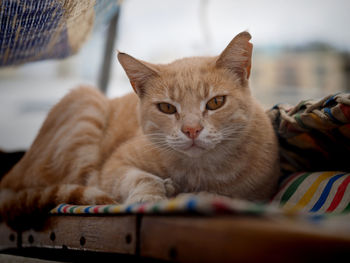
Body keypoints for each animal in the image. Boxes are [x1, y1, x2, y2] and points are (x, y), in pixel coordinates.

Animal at [0, 31, 278, 229]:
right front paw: (151, 197)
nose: (191, 130)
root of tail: (10, 175)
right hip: (87, 102)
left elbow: (227, 197)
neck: (198, 171)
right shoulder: (115, 166)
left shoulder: (261, 192)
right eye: (166, 107)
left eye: (216, 102)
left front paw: (199, 194)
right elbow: (141, 178)